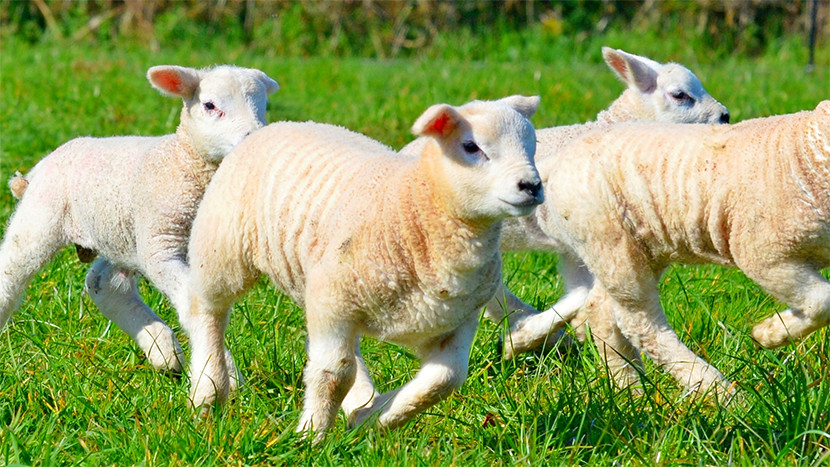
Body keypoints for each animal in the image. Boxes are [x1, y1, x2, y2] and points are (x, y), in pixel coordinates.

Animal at [0, 65, 279, 375]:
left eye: (263, 105)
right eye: (209, 105)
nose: (256, 143)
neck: (181, 161)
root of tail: (39, 168)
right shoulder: (161, 245)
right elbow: (192, 304)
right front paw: (220, 372)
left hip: (121, 237)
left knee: (104, 284)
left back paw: (163, 351)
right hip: (42, 217)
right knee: (11, 271)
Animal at [183, 96, 567, 441]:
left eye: (532, 145)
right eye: (471, 146)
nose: (532, 186)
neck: (417, 209)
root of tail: (275, 126)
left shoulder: (454, 319)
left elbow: (443, 381)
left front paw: (369, 421)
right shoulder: (333, 302)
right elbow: (332, 374)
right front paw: (310, 438)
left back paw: (360, 401)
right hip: (222, 248)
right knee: (208, 311)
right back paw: (208, 393)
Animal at [517, 101, 830, 397]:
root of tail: (558, 159)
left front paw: (774, 333)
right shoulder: (764, 253)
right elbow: (821, 301)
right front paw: (768, 333)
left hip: (636, 247)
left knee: (602, 310)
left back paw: (630, 388)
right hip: (609, 240)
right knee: (640, 323)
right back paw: (717, 391)